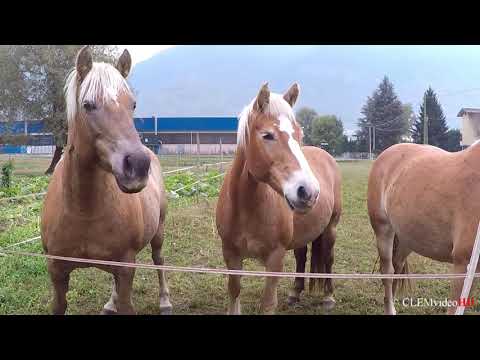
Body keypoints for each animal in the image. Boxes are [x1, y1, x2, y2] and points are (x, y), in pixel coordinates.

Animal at [40, 46, 172, 314]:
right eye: (88, 104)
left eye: (133, 104)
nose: (138, 165)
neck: (83, 210)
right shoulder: (57, 270)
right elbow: (59, 304)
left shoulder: (126, 267)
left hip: (159, 231)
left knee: (159, 259)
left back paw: (165, 300)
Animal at [216, 83, 344, 314]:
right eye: (267, 135)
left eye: (299, 133)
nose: (309, 191)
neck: (246, 208)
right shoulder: (230, 254)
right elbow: (234, 292)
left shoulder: (275, 259)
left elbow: (267, 304)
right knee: (301, 256)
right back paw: (295, 293)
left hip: (331, 228)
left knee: (328, 259)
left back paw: (328, 297)